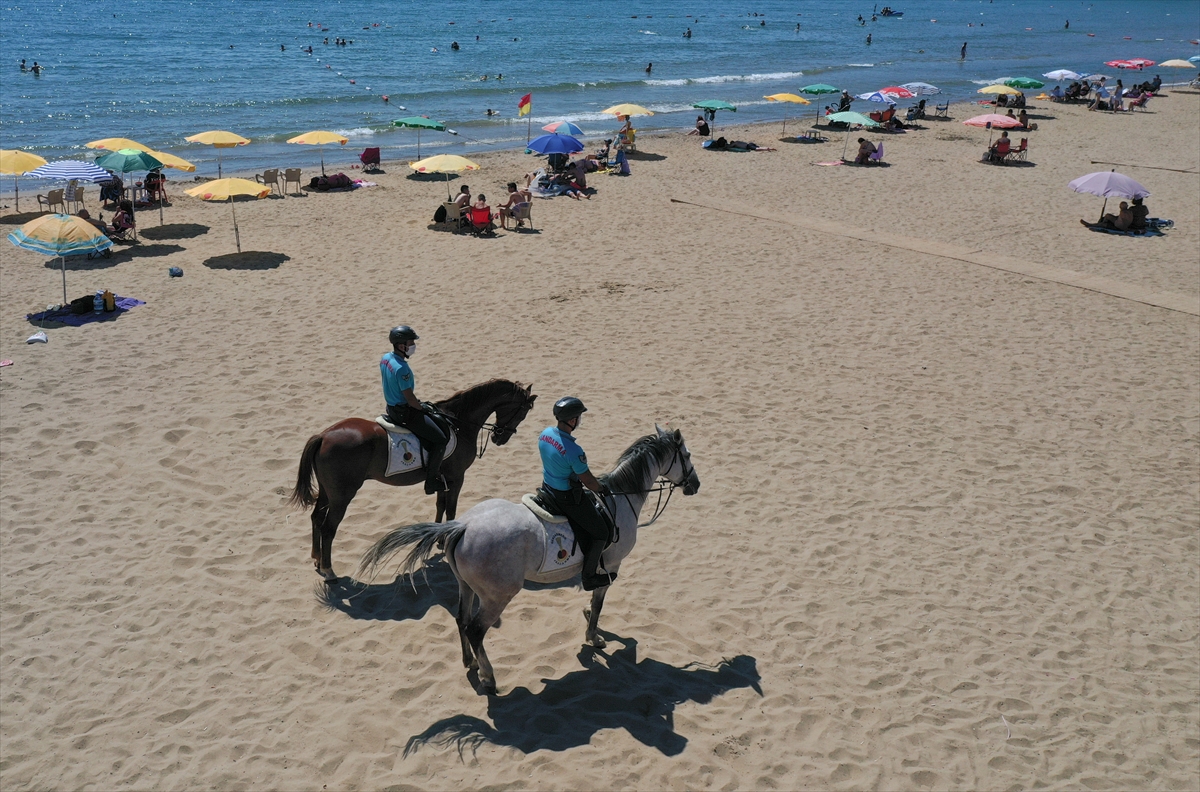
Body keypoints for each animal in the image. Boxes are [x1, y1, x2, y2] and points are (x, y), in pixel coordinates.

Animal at [288, 379, 537, 580]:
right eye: (522, 413)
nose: (500, 438)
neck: (459, 422)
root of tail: (323, 435)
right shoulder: (457, 477)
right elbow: (451, 509)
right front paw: (448, 541)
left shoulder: (442, 478)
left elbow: (440, 505)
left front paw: (438, 538)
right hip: (342, 495)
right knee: (328, 528)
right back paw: (329, 571)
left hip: (327, 491)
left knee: (316, 518)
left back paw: (317, 558)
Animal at [364, 427, 700, 691]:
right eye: (686, 455)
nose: (695, 485)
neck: (620, 498)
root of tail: (462, 526)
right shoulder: (611, 565)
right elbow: (599, 603)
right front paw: (594, 636)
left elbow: (594, 602)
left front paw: (589, 625)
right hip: (498, 596)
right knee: (475, 630)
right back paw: (488, 677)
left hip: (465, 586)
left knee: (461, 619)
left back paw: (469, 662)